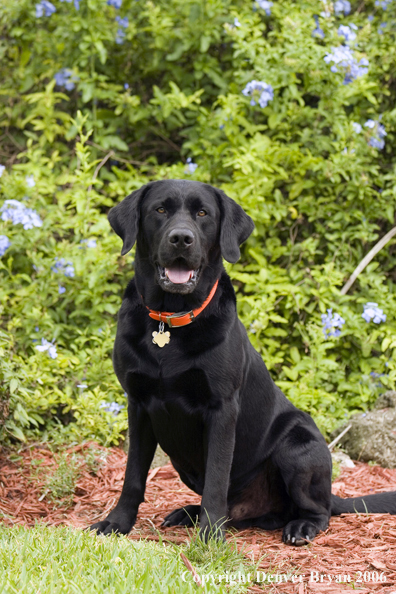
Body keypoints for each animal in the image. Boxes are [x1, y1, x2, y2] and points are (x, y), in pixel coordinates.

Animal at [90, 178, 396, 544]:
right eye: (160, 210)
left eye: (203, 213)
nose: (181, 238)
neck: (171, 320)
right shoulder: (137, 405)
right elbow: (133, 475)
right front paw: (117, 522)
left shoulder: (222, 409)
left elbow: (217, 478)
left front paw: (209, 537)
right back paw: (190, 513)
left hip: (298, 445)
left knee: (317, 510)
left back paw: (300, 526)